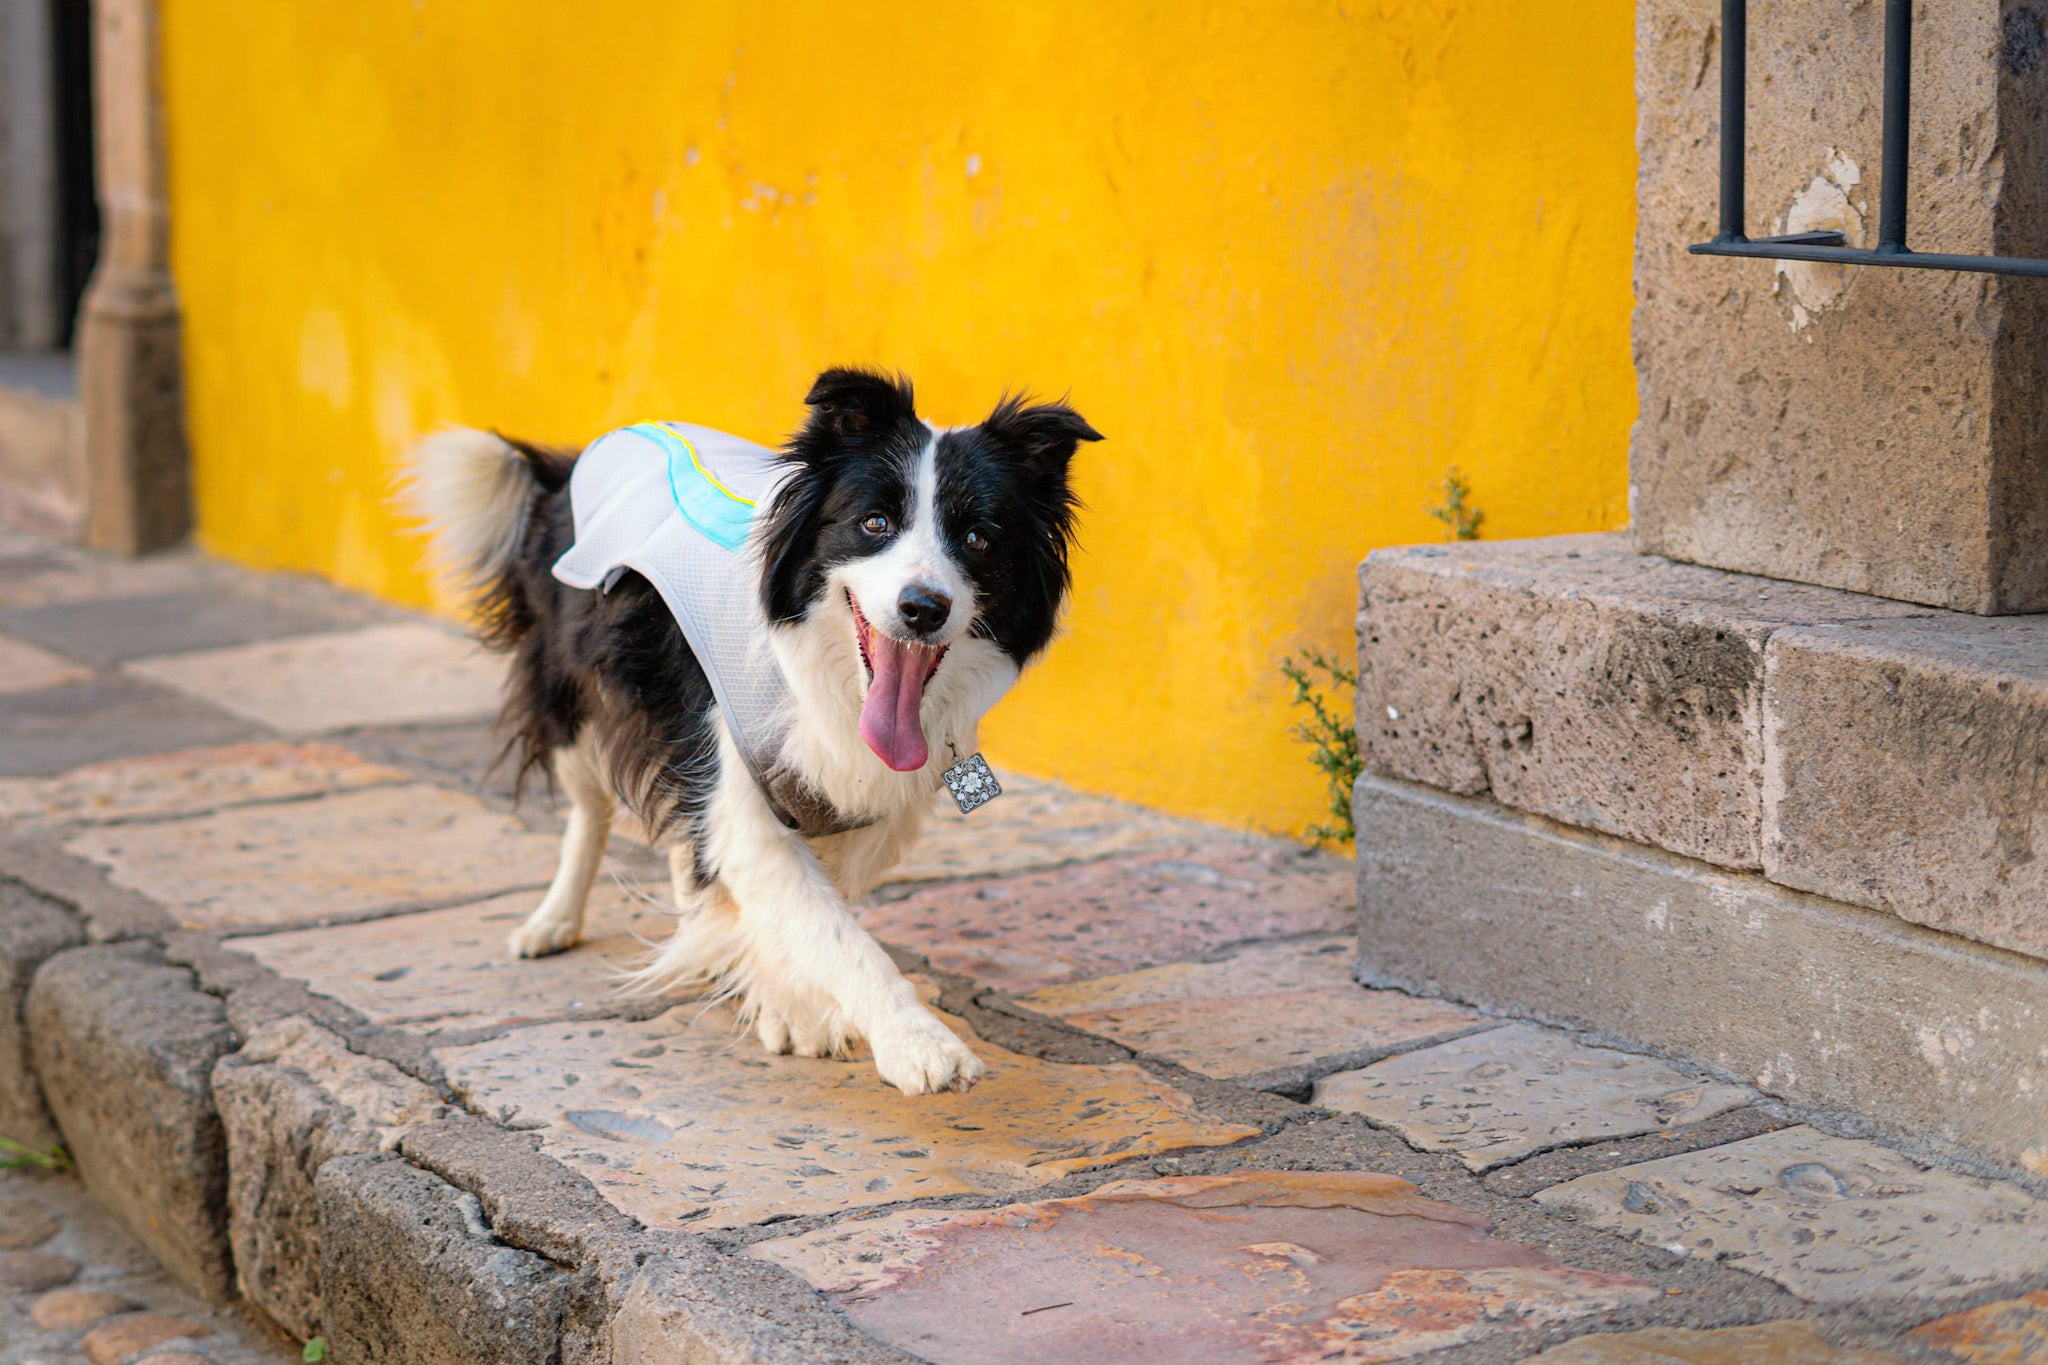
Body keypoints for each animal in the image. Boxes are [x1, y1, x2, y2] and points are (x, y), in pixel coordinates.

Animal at [405, 368, 1097, 1096]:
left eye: (979, 539)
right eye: (874, 523)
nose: (924, 608)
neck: (823, 679)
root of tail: (577, 458)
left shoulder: (849, 804)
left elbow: (810, 908)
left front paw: (788, 1000)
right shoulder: (731, 769)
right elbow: (827, 927)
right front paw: (914, 1044)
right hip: (574, 690)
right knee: (591, 810)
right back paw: (553, 921)